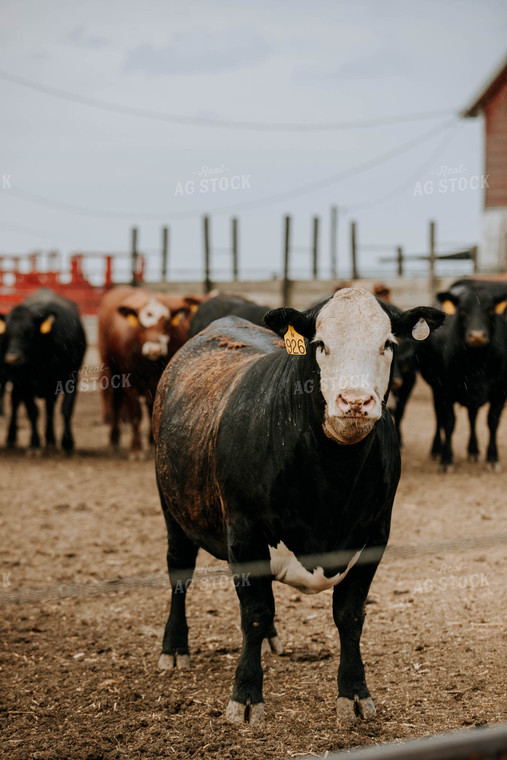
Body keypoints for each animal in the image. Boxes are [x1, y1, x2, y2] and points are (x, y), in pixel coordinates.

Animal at [1, 284, 86, 452]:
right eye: (7, 333)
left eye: (29, 332)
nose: (13, 358)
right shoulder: (23, 381)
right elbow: (33, 411)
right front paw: (34, 443)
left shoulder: (71, 377)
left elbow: (66, 409)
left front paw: (67, 442)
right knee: (15, 403)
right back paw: (12, 438)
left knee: (50, 407)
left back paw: (51, 439)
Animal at [98, 284, 203, 458]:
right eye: (141, 325)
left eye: (167, 324)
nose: (154, 350)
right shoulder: (129, 382)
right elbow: (135, 414)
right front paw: (135, 449)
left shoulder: (158, 382)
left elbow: (153, 409)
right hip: (112, 369)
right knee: (116, 401)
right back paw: (114, 438)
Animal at [153, 286, 442, 724]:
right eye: (320, 344)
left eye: (388, 344)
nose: (354, 402)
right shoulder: (244, 532)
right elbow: (254, 613)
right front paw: (246, 696)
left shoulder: (376, 535)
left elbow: (349, 616)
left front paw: (354, 693)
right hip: (173, 510)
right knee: (179, 574)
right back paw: (174, 647)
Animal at [416, 280, 507, 470]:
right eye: (463, 311)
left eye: (490, 310)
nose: (477, 336)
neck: (476, 363)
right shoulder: (445, 390)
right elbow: (449, 422)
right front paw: (446, 459)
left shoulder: (501, 391)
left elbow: (492, 422)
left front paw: (492, 457)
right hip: (435, 390)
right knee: (439, 417)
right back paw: (437, 448)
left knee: (472, 416)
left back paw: (473, 450)